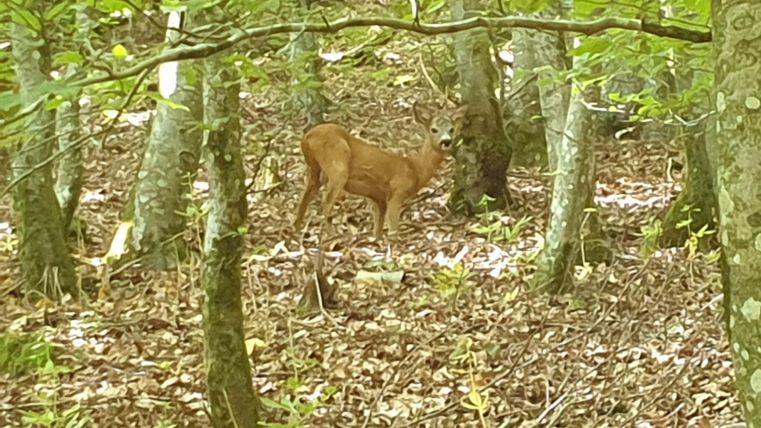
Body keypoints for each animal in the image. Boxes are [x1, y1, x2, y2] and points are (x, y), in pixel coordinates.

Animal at [293, 101, 467, 239]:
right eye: (434, 129)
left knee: (305, 197)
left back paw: (296, 230)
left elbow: (377, 229)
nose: (446, 141)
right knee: (326, 202)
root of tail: (306, 137)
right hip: (337, 163)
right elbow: (393, 230)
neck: (415, 168)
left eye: (452, 129)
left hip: (315, 169)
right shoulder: (397, 191)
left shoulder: (378, 198)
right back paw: (332, 237)